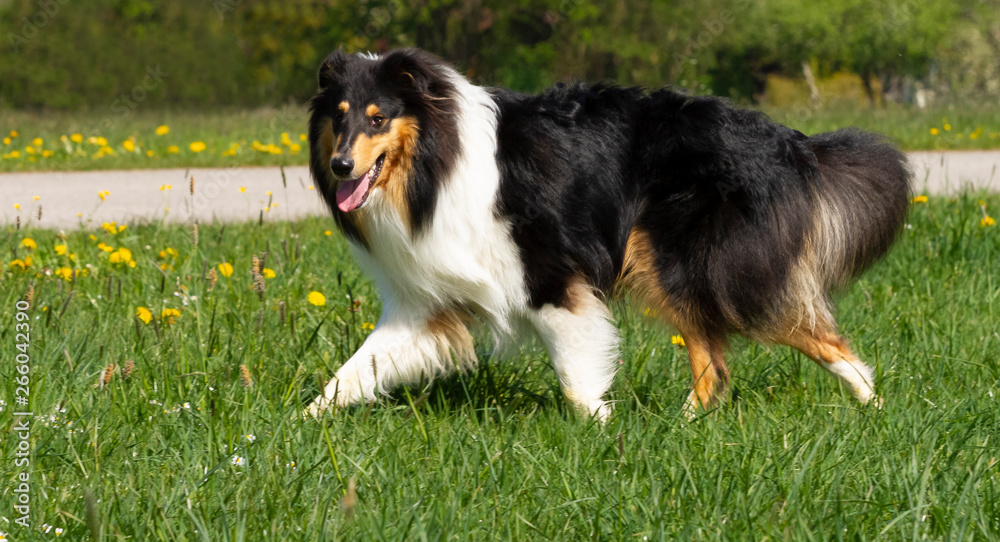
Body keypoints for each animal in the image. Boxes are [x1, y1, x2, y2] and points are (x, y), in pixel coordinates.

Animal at [300, 47, 912, 420]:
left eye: (378, 118)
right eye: (340, 115)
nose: (340, 167)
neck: (435, 163)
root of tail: (792, 143)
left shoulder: (549, 277)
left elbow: (576, 372)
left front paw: (601, 426)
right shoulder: (426, 302)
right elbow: (356, 368)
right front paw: (303, 423)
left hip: (685, 262)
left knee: (796, 336)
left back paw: (872, 404)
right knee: (717, 362)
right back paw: (686, 426)